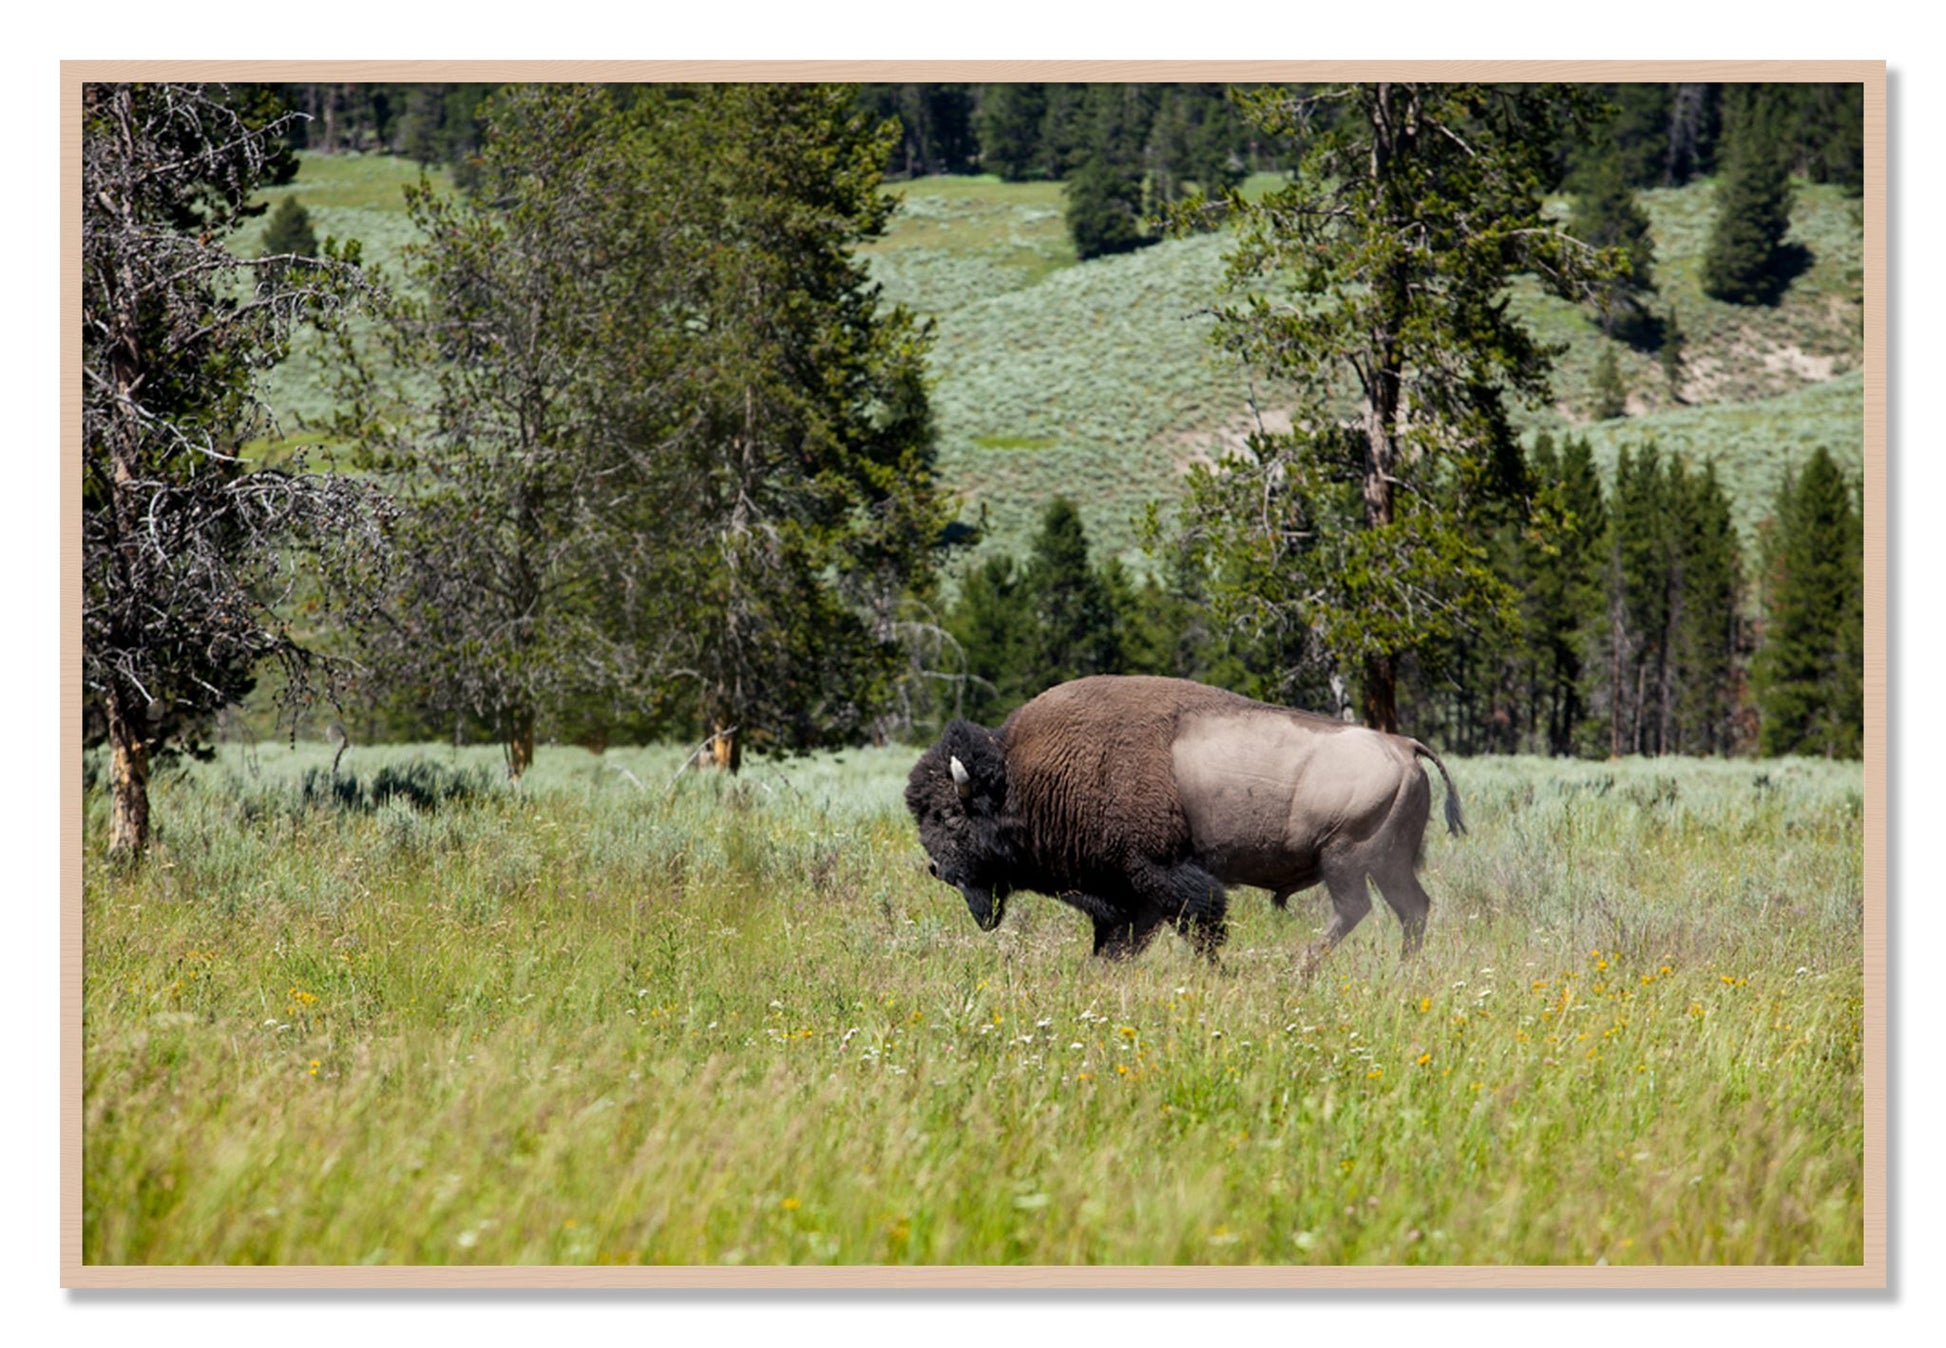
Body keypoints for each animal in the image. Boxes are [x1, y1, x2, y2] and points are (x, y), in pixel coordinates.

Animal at [905, 675, 1465, 972]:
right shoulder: (1127, 893)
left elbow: (1200, 924)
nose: (937, 868)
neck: (1023, 776)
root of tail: (1403, 745)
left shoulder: (1159, 874)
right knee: (1412, 909)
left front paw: (1216, 971)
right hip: (1388, 864)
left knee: (1356, 910)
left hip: (1345, 858)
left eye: (949, 815)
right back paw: (1402, 969)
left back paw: (1300, 968)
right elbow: (1121, 939)